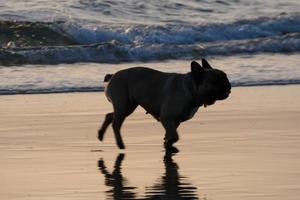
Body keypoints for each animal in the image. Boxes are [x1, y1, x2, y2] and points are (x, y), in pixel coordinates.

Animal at [97, 58, 231, 152]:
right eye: (215, 81)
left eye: (225, 77)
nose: (228, 85)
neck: (190, 88)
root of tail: (112, 76)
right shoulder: (167, 118)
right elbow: (175, 136)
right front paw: (169, 143)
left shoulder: (174, 122)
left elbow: (170, 134)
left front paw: (167, 144)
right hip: (123, 105)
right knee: (116, 124)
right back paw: (120, 144)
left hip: (127, 107)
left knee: (110, 116)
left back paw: (101, 134)